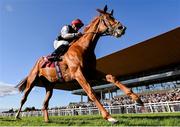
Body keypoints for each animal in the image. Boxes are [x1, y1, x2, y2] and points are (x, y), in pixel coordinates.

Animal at [15, 5, 143, 123]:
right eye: (107, 18)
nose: (122, 28)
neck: (83, 48)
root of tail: (37, 62)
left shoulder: (91, 72)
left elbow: (112, 77)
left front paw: (137, 99)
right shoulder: (78, 74)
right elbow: (91, 92)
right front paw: (109, 117)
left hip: (50, 85)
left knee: (45, 103)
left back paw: (47, 120)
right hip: (32, 81)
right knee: (23, 98)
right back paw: (17, 116)